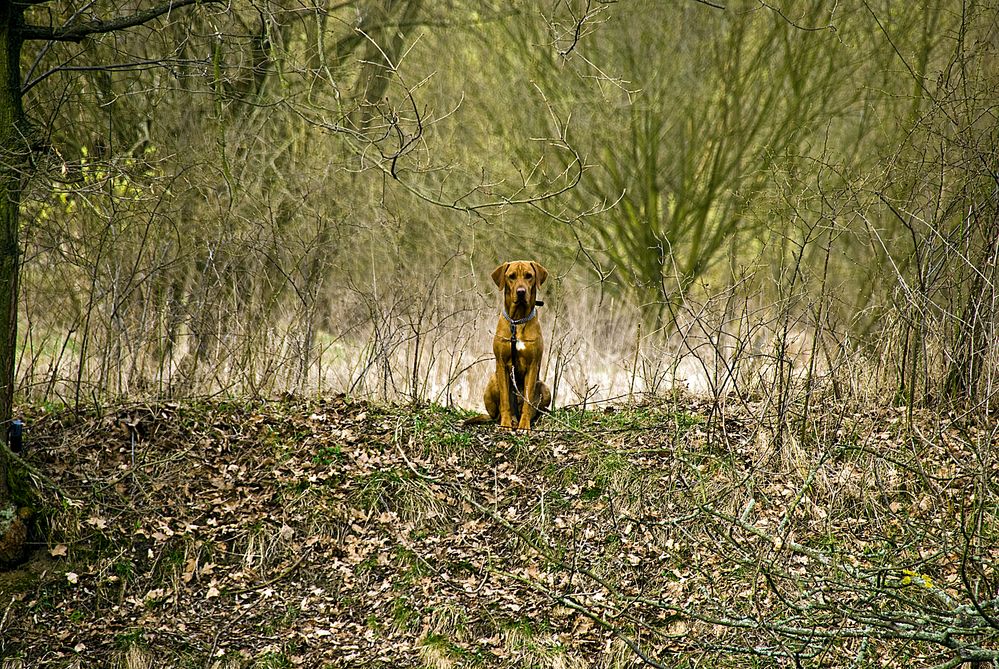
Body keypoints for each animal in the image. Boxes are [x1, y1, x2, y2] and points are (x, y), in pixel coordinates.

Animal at [484, 258, 556, 430]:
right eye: (511, 276)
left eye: (529, 276)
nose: (521, 291)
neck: (517, 321)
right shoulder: (502, 364)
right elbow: (505, 399)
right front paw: (505, 424)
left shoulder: (532, 365)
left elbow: (527, 402)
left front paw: (524, 425)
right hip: (493, 380)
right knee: (496, 414)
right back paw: (508, 420)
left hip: (544, 387)